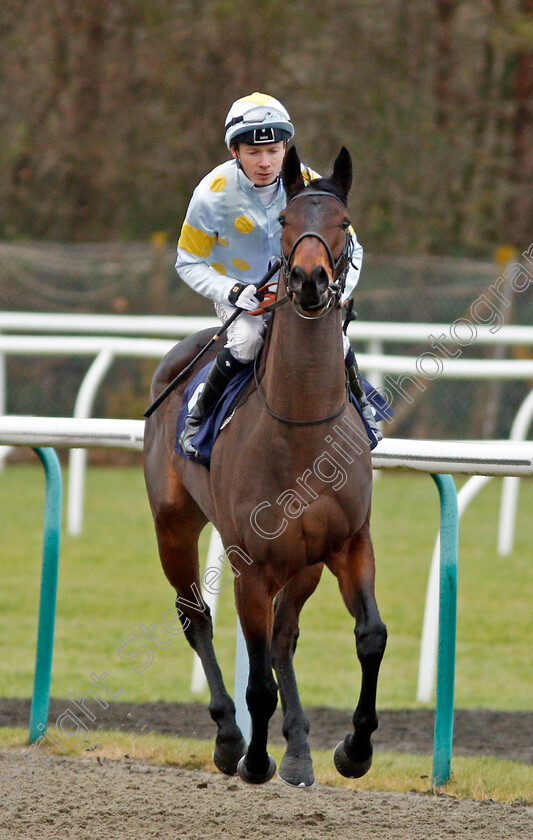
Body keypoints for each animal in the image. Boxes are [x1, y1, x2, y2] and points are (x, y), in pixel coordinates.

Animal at [143, 146, 386, 788]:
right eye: (284, 222)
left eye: (344, 224)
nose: (307, 280)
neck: (302, 430)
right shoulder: (249, 565)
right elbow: (256, 682)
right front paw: (254, 759)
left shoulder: (349, 543)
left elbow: (370, 637)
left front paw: (354, 749)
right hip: (173, 526)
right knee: (197, 619)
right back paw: (230, 739)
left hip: (304, 563)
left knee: (283, 638)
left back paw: (298, 752)